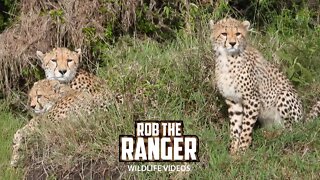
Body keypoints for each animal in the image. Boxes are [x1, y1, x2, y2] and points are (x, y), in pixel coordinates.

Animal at [210, 17, 320, 155]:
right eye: (224, 33)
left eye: (238, 33)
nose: (232, 43)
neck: (227, 58)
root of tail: (303, 119)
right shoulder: (233, 100)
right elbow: (235, 127)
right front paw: (233, 151)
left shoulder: (252, 99)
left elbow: (246, 127)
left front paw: (242, 150)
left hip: (284, 95)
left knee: (292, 130)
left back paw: (277, 134)